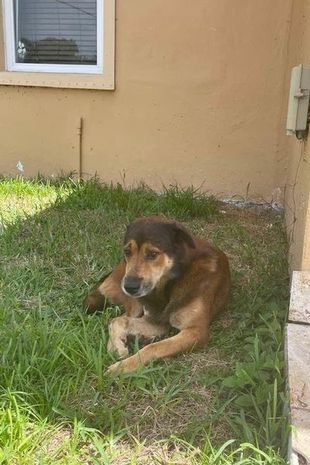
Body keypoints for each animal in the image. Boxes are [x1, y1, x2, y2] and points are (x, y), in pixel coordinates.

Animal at [83, 215, 230, 374]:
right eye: (127, 252)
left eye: (153, 254)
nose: (129, 287)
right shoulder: (155, 320)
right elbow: (119, 321)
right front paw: (119, 349)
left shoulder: (196, 331)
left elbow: (154, 347)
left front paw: (121, 368)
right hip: (135, 302)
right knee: (118, 318)